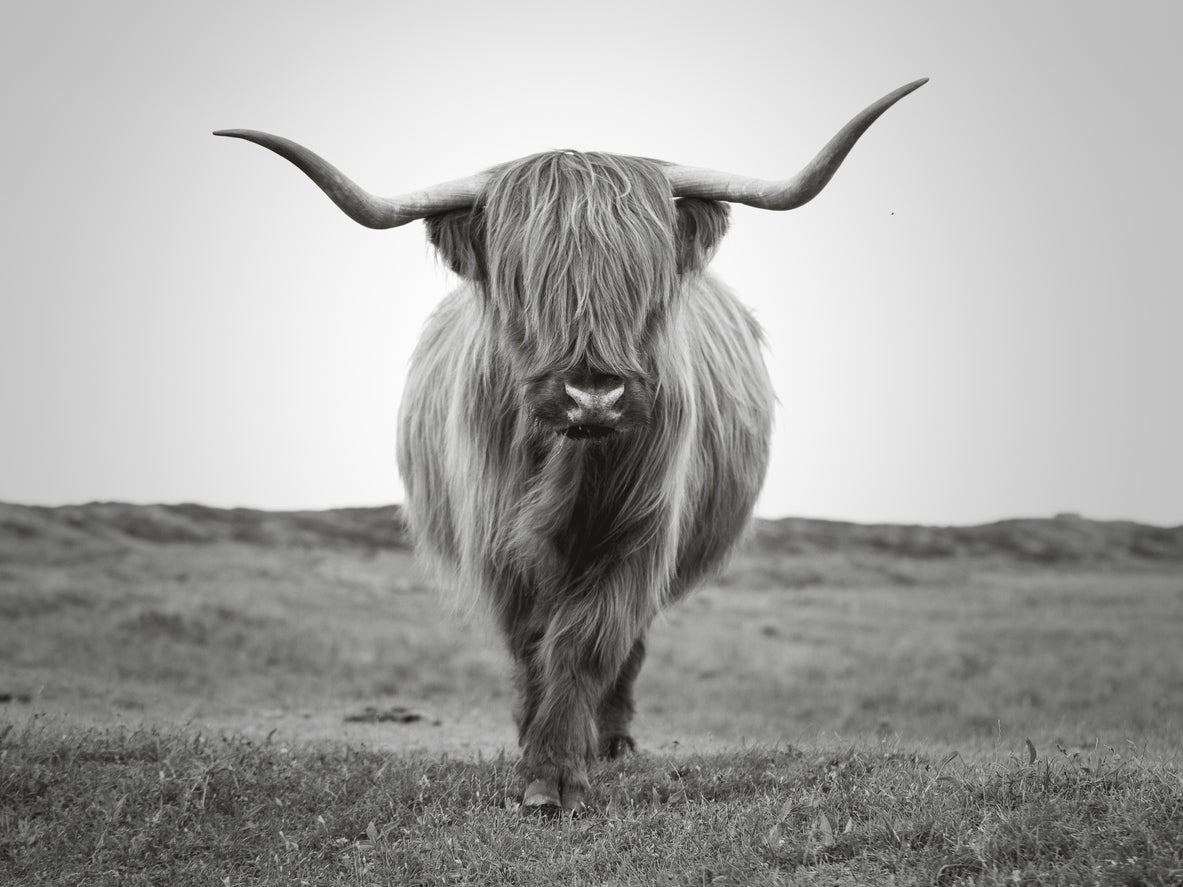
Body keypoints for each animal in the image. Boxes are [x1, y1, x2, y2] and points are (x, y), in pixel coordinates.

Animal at [215, 78, 926, 812]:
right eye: (523, 283)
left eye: (643, 279)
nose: (593, 395)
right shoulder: (499, 543)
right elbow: (533, 643)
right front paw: (537, 757)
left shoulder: (638, 535)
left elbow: (588, 640)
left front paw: (558, 770)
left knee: (627, 648)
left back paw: (610, 741)